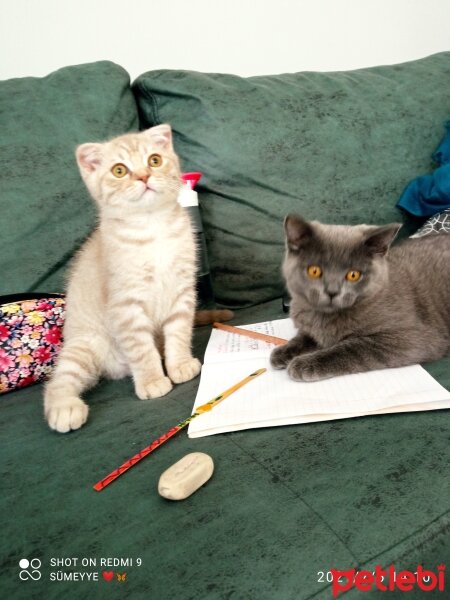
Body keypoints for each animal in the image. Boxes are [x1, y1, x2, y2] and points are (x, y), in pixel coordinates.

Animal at [43, 125, 202, 432]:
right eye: (119, 170)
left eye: (154, 160)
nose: (143, 176)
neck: (153, 228)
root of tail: (116, 369)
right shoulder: (125, 304)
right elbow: (141, 348)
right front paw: (152, 380)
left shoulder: (182, 291)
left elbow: (179, 332)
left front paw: (179, 364)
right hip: (82, 348)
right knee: (61, 380)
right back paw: (65, 408)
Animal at [270, 214, 450, 380]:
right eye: (314, 271)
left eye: (353, 275)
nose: (332, 291)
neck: (324, 317)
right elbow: (305, 336)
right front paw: (283, 352)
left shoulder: (412, 337)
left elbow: (353, 347)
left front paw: (305, 364)